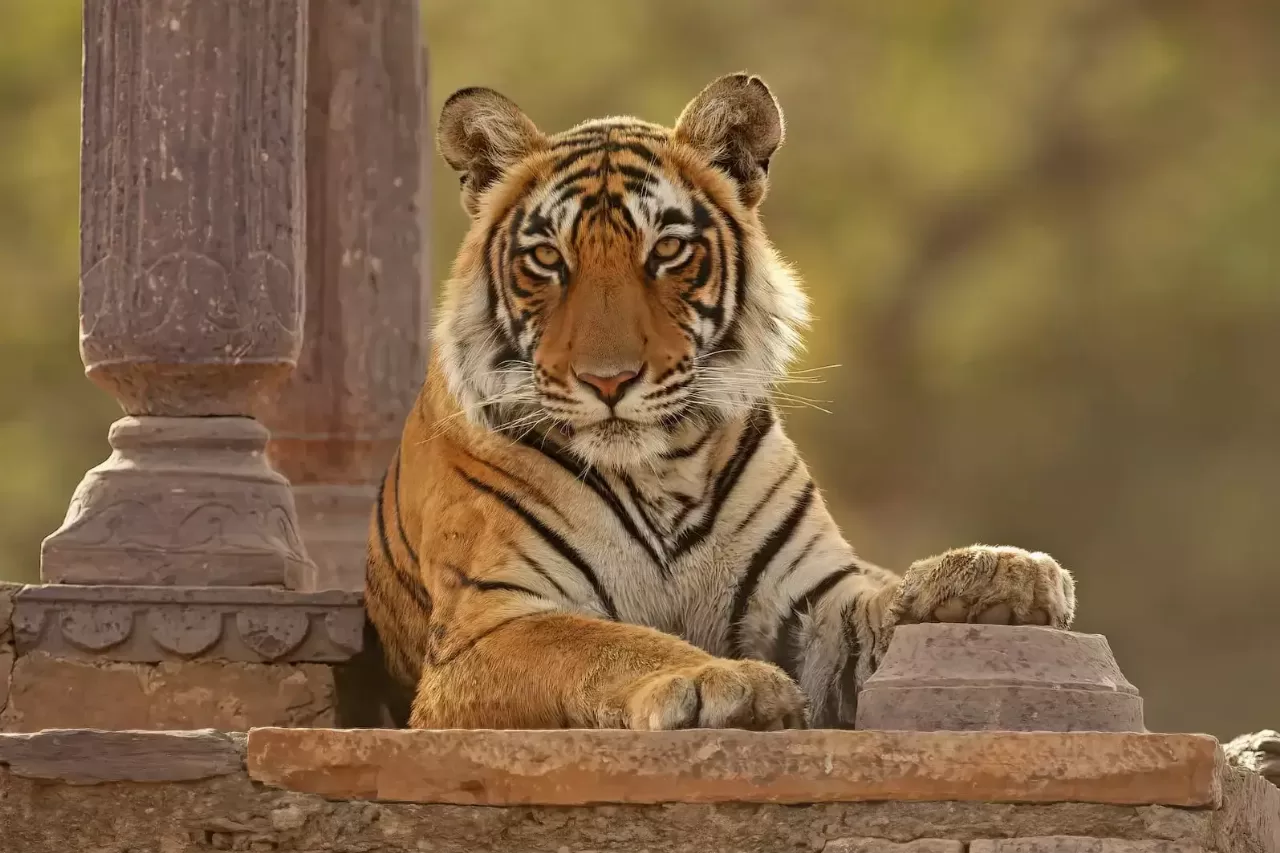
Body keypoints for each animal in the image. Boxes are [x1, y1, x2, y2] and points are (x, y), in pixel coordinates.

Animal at [364, 72, 1078, 730]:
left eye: (668, 249)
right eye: (546, 258)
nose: (608, 381)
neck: (659, 473)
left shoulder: (807, 601)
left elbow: (875, 607)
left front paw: (1000, 574)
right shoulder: (489, 626)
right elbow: (607, 643)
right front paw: (722, 680)